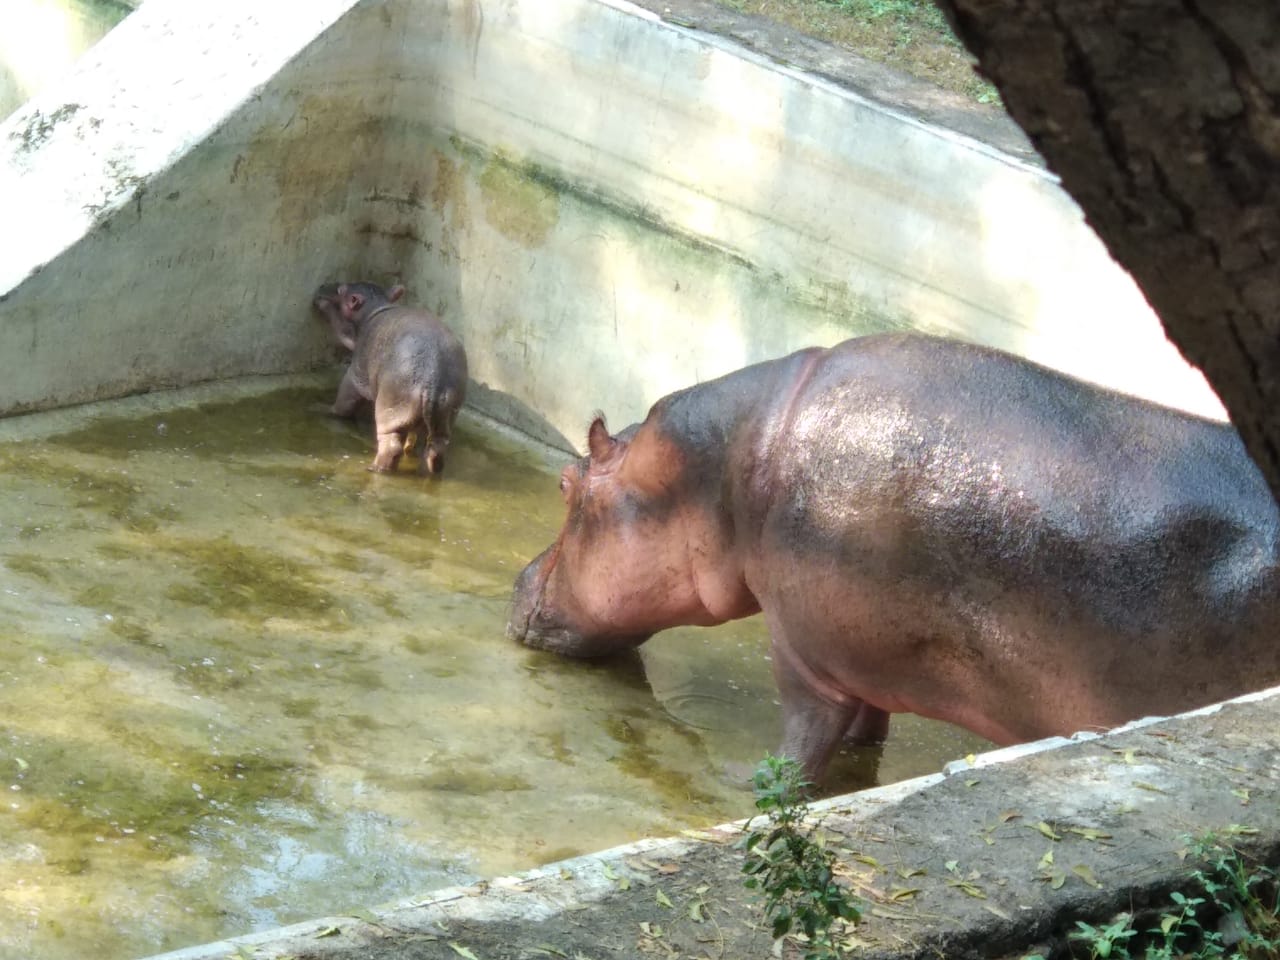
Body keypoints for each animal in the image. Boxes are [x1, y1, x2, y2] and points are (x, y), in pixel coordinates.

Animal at [314, 281, 471, 478]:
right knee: (437, 447)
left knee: (391, 445)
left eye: (341, 289)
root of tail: (434, 379)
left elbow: (345, 399)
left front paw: (324, 408)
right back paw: (429, 472)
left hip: (391, 407)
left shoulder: (356, 373)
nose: (322, 286)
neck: (375, 306)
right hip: (445, 414)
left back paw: (375, 469)